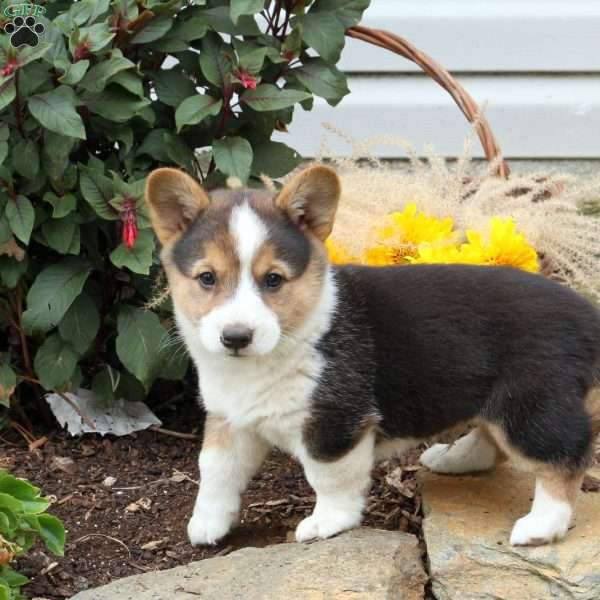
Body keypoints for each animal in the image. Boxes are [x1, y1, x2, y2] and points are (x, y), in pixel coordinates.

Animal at [145, 165, 600, 548]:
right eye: (207, 278)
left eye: (273, 280)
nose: (236, 337)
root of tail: (587, 316)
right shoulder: (230, 419)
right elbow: (215, 470)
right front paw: (206, 524)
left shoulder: (334, 425)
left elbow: (328, 477)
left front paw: (327, 523)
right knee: (494, 440)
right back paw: (453, 458)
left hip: (528, 405)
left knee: (565, 455)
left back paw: (541, 525)